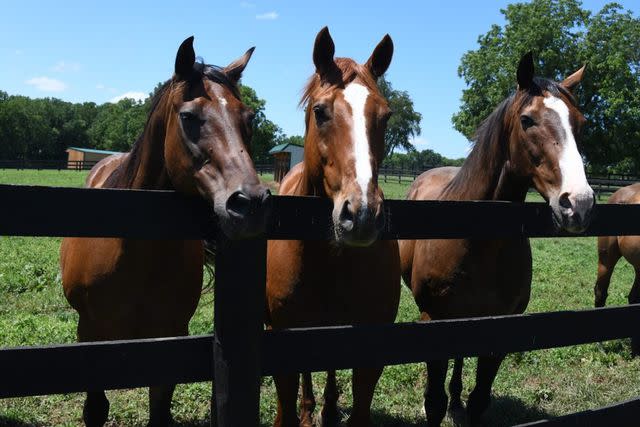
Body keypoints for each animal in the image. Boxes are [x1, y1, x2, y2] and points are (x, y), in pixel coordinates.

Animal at [60, 37, 270, 427]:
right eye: (188, 117)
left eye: (248, 118)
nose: (250, 202)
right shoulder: (90, 336)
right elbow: (95, 409)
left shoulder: (170, 337)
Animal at [400, 54, 596, 427]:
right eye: (527, 120)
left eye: (580, 122)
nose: (578, 203)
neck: (476, 242)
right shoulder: (434, 322)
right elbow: (433, 402)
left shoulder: (499, 333)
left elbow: (480, 399)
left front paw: (462, 404)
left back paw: (457, 401)